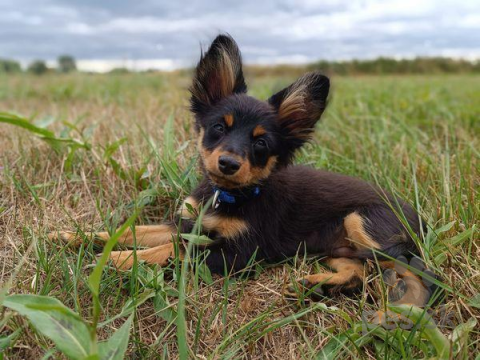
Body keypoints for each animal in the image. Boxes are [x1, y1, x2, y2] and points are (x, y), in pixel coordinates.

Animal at [50, 33, 436, 310]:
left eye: (261, 143)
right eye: (219, 127)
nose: (228, 164)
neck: (228, 195)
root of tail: (421, 220)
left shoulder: (241, 252)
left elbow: (174, 251)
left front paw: (116, 262)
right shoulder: (187, 223)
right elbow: (133, 231)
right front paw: (73, 237)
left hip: (363, 222)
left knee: (415, 272)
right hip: (335, 246)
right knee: (359, 272)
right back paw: (314, 286)